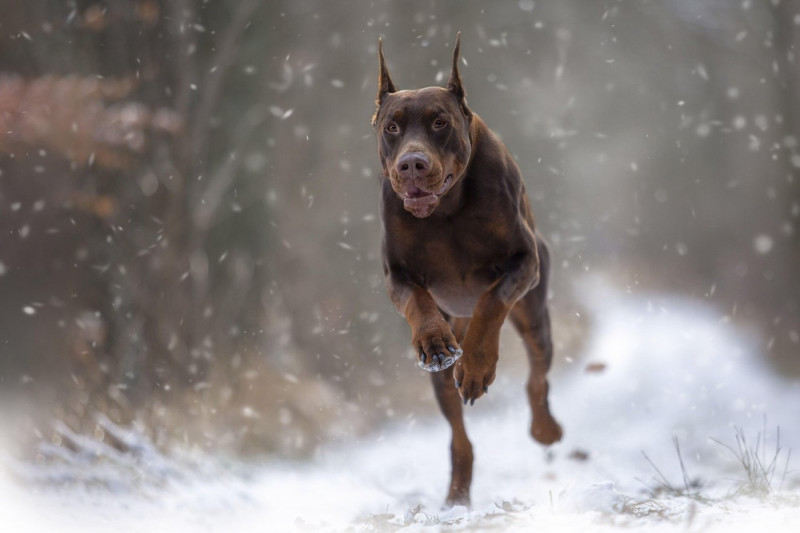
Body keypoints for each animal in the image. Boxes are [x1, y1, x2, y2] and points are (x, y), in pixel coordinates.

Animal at [374, 34, 564, 508]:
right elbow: (416, 299)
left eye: (440, 122)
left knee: (537, 376)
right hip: (443, 378)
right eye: (392, 128)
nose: (412, 163)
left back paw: (544, 428)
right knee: (460, 435)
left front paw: (478, 365)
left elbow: (492, 300)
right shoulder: (396, 273)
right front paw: (434, 340)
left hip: (535, 317)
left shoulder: (525, 262)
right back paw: (458, 492)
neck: (446, 210)